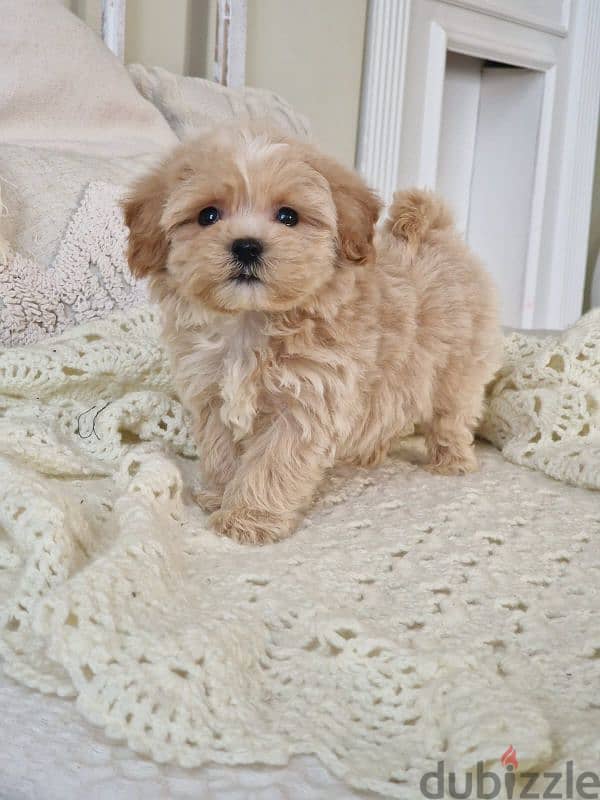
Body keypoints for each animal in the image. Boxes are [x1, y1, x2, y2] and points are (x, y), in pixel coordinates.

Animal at [122, 125, 502, 548]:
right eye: (208, 215)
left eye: (288, 216)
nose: (247, 245)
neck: (252, 322)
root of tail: (437, 232)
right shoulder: (213, 396)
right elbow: (221, 450)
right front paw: (221, 494)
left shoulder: (305, 401)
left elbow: (271, 464)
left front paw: (248, 518)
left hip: (458, 369)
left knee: (452, 415)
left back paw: (451, 460)